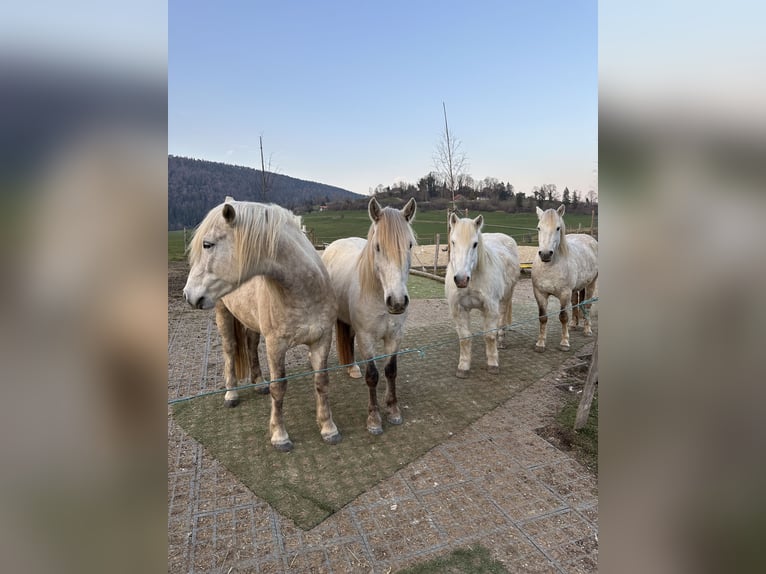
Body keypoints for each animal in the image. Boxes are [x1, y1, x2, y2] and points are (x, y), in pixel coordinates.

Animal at [183, 199, 341, 452]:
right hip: (222, 314)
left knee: (250, 345)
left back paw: (258, 383)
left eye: (207, 244)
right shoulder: (276, 346)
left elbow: (322, 382)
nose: (188, 294)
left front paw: (328, 428)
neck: (304, 292)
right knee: (230, 350)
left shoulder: (322, 340)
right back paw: (232, 394)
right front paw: (279, 436)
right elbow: (279, 388)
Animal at [321, 197, 417, 435]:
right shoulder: (366, 338)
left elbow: (391, 371)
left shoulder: (394, 337)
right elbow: (372, 376)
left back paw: (352, 368)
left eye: (410, 245)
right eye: (377, 247)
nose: (397, 302)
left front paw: (393, 409)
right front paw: (374, 419)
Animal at [445, 213, 520, 378]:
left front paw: (493, 364)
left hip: (506, 297)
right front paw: (463, 367)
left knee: (502, 319)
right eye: (453, 242)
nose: (461, 279)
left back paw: (501, 340)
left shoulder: (490, 307)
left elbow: (489, 336)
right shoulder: (459, 309)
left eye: (475, 244)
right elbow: (465, 338)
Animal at [531, 204, 598, 352]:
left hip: (591, 284)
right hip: (575, 289)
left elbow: (563, 317)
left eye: (558, 228)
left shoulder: (564, 294)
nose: (545, 254)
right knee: (575, 303)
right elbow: (543, 317)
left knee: (588, 305)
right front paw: (540, 343)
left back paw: (587, 330)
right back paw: (573, 324)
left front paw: (564, 343)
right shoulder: (540, 294)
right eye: (539, 228)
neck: (550, 266)